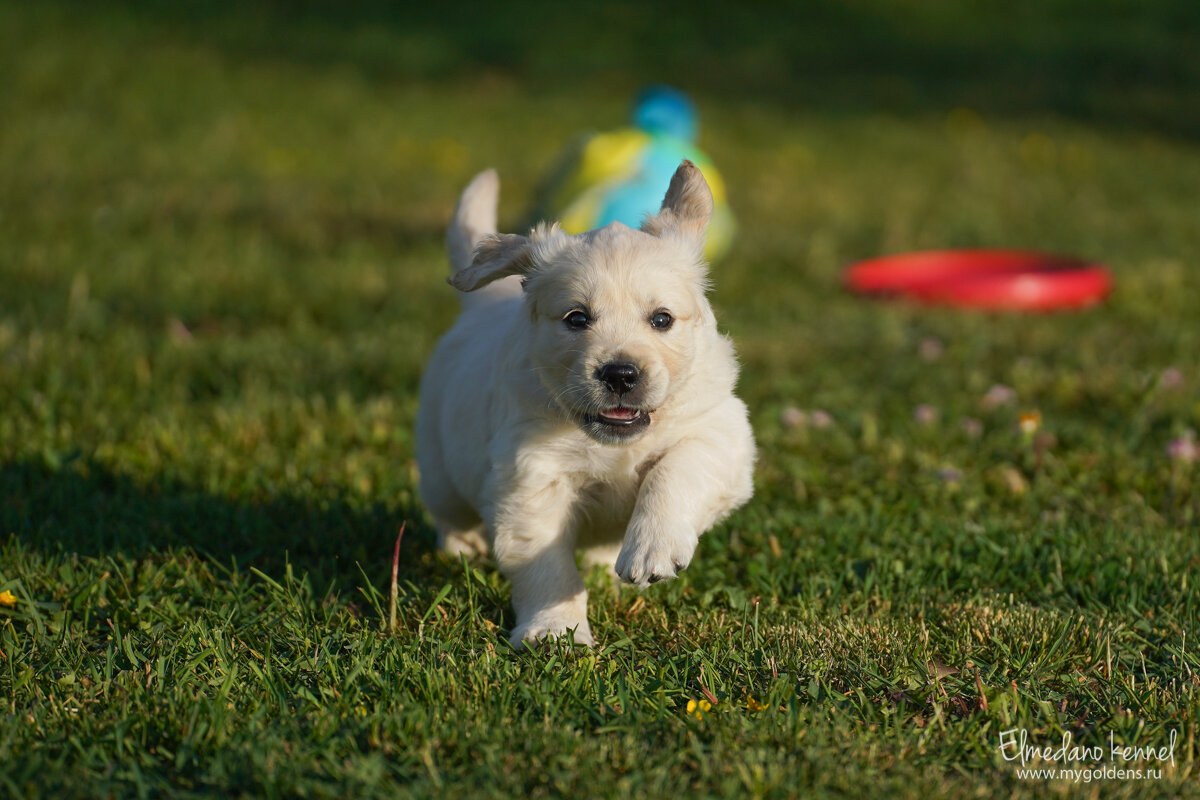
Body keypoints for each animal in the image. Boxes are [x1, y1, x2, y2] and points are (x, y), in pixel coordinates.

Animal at [417, 159, 753, 647]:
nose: (620, 374)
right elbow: (544, 563)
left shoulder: (720, 431)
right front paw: (555, 631)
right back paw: (464, 549)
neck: (613, 440)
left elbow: (676, 469)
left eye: (662, 319)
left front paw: (651, 549)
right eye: (577, 319)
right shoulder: (532, 476)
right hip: (441, 471)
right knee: (450, 515)